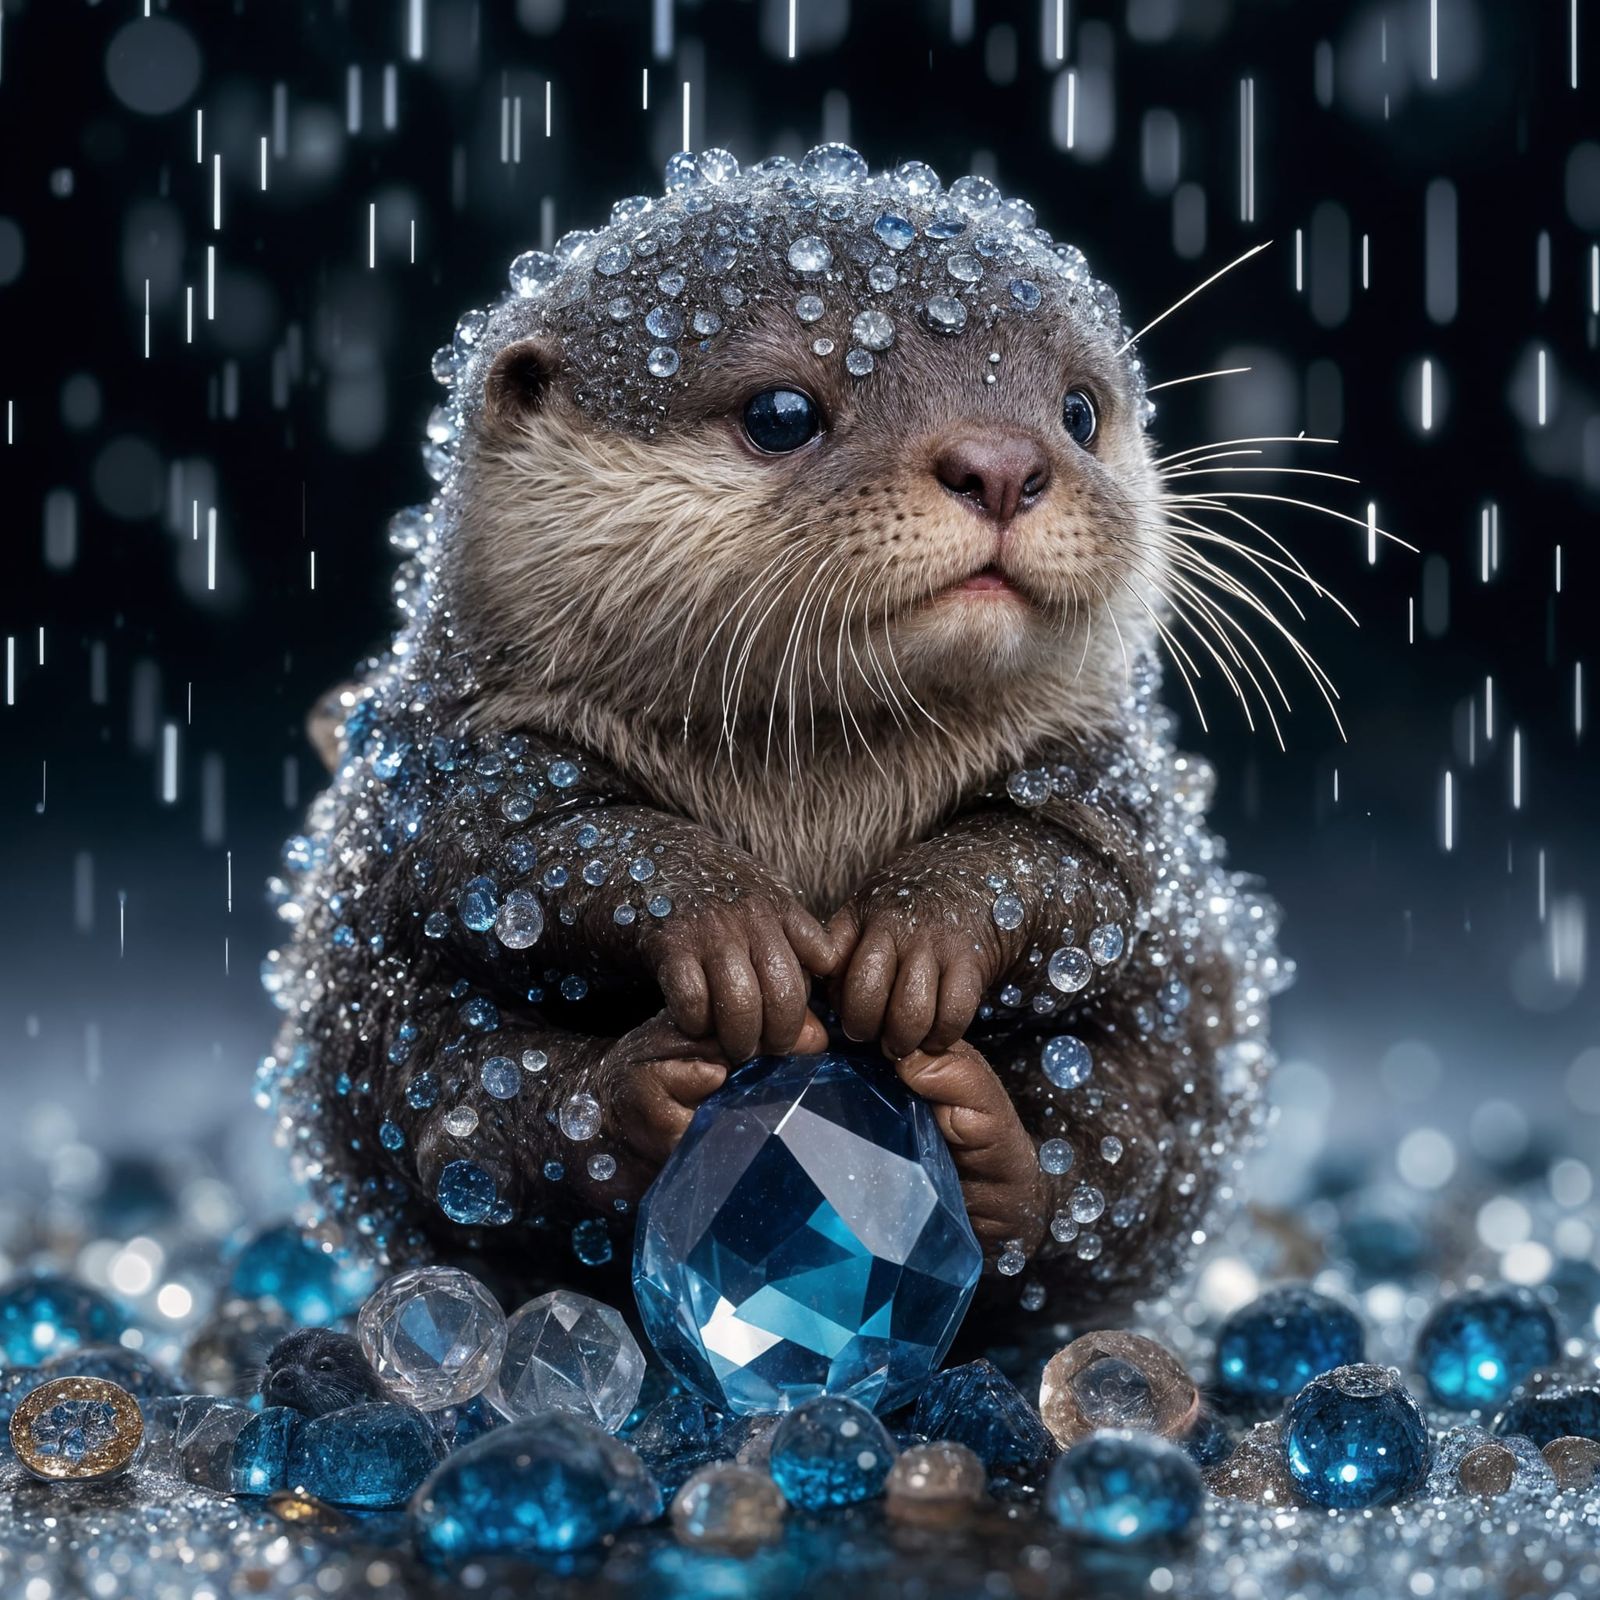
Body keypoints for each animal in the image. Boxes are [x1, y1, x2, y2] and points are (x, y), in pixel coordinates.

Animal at [263, 146, 1285, 1325]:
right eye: (784, 411)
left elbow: (1089, 860)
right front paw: (729, 932)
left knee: (1116, 1154)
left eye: (1078, 410)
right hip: (388, 1050)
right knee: (463, 1117)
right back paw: (632, 1098)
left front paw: (919, 941)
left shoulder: (1113, 770)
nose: (1000, 463)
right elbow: (519, 841)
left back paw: (993, 1147)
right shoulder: (446, 754)